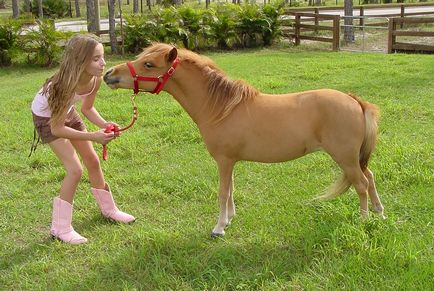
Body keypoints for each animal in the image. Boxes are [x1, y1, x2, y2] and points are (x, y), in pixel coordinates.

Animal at [103, 44, 384, 240]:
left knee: (361, 184)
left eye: (149, 64)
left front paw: (218, 228)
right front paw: (228, 219)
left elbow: (222, 192)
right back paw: (379, 213)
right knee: (370, 177)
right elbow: (231, 191)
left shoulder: (224, 160)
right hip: (353, 158)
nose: (109, 74)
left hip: (344, 158)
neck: (221, 108)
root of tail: (355, 101)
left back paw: (363, 220)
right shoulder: (231, 161)